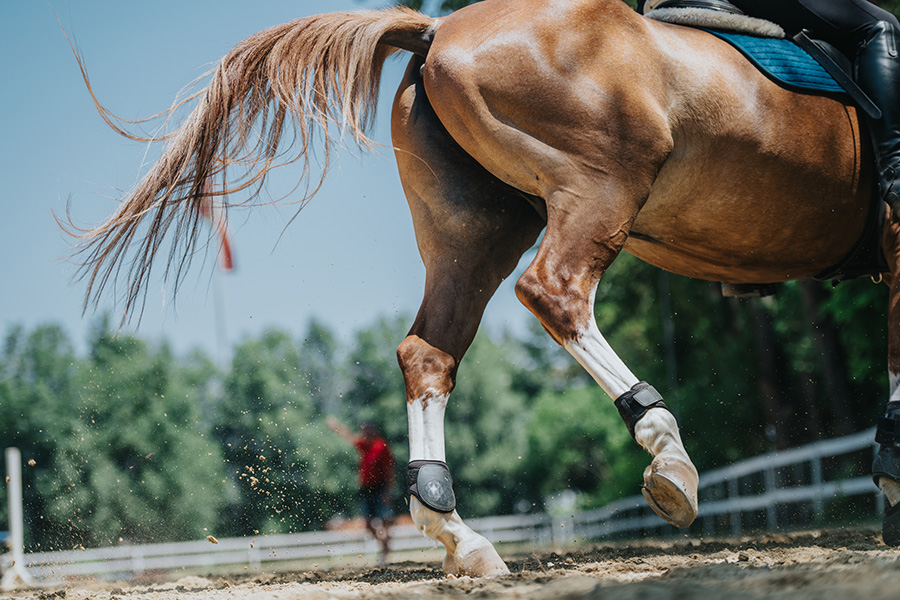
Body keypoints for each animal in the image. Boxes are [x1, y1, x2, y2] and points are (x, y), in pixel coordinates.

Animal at [67, 0, 900, 577]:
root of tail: (437, 31)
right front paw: (891, 480)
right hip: (599, 190)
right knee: (554, 293)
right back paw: (666, 453)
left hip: (472, 235)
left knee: (428, 352)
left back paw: (459, 533)